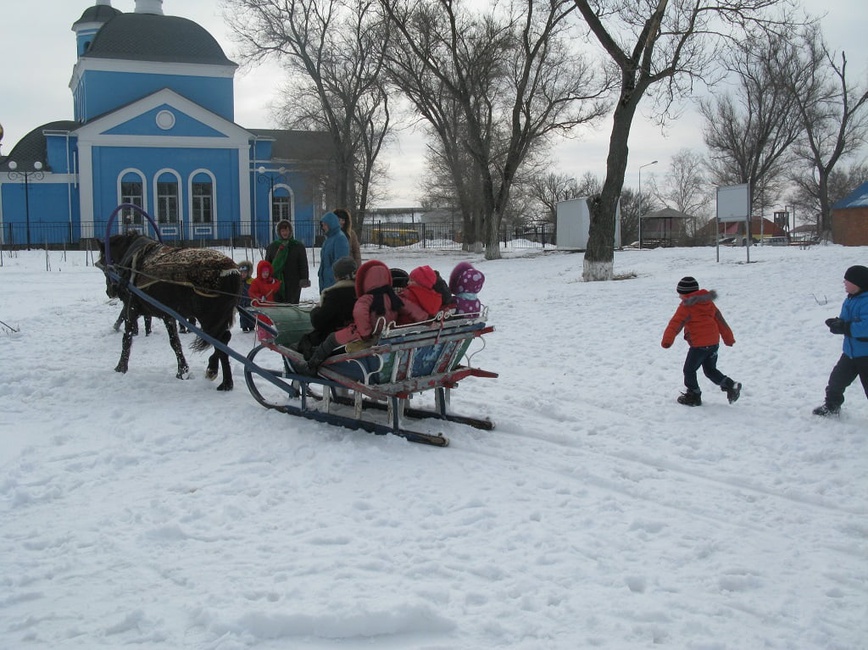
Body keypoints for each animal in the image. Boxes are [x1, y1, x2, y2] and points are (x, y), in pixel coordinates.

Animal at [97, 232, 241, 388]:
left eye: (103, 263)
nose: (109, 291)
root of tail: (231, 271)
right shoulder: (168, 315)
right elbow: (175, 342)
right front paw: (182, 371)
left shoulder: (131, 308)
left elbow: (127, 338)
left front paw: (121, 367)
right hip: (219, 318)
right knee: (224, 340)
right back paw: (219, 376)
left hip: (209, 318)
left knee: (220, 342)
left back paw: (221, 378)